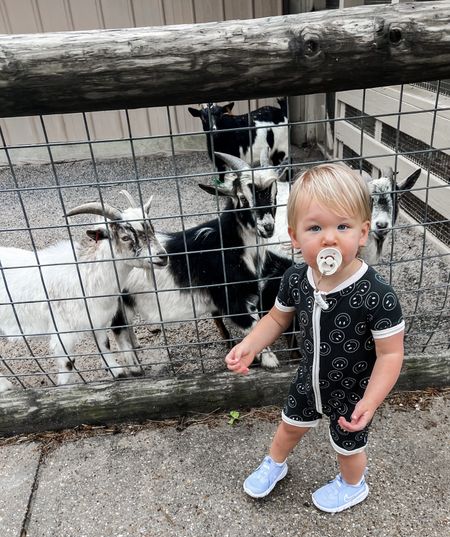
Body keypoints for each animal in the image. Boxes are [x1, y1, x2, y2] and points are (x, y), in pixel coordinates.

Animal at [0, 197, 168, 390]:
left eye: (152, 228)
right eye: (125, 237)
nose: (162, 256)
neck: (86, 274)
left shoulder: (98, 321)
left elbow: (105, 346)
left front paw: (117, 373)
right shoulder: (63, 332)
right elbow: (68, 363)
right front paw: (64, 388)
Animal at [110, 150, 286, 368]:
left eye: (274, 194)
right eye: (242, 198)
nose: (268, 227)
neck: (228, 242)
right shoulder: (230, 298)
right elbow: (253, 328)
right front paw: (270, 360)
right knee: (116, 336)